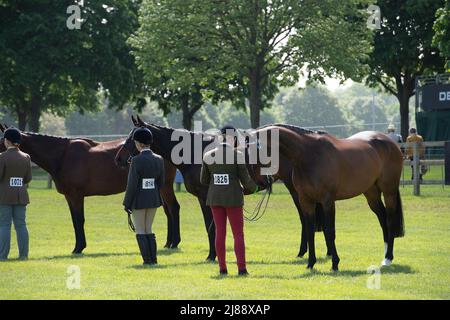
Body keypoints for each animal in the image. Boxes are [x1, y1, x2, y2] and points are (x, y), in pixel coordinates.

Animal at [0, 124, 181, 254]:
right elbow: (74, 221)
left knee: (173, 208)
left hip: (165, 187)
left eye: (1, 141)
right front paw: (77, 247)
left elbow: (79, 220)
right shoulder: (69, 197)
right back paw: (168, 243)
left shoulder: (76, 195)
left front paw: (79, 248)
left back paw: (174, 242)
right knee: (168, 211)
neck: (62, 155)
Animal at [114, 116, 332, 262]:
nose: (118, 158)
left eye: (132, 137)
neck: (195, 153)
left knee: (305, 219)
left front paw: (212, 256)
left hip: (296, 190)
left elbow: (210, 227)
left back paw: (305, 252)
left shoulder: (204, 197)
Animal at [251, 126, 406, 272]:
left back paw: (388, 258)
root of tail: (391, 142)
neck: (308, 155)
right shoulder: (306, 201)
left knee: (390, 220)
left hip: (389, 191)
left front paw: (335, 263)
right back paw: (385, 256)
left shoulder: (327, 201)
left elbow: (330, 230)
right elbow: (310, 230)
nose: (259, 182)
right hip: (371, 193)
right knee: (382, 218)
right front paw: (311, 263)